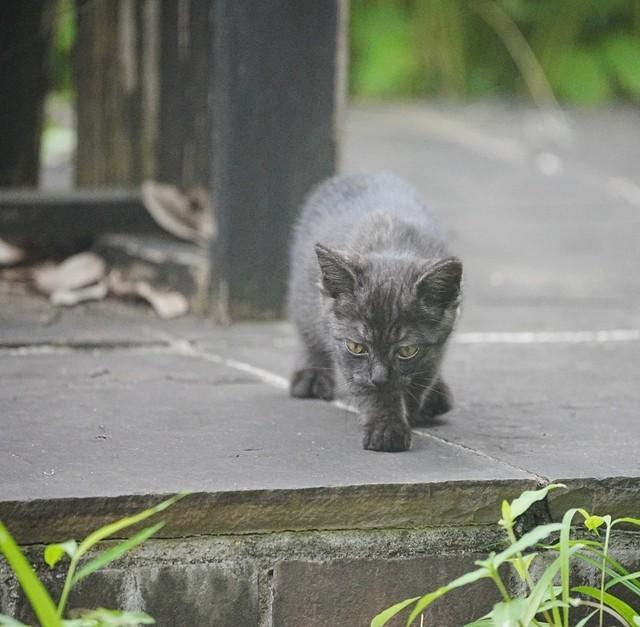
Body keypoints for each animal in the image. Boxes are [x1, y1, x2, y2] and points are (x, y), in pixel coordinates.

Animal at [288, 173, 462, 452]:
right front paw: (386, 425)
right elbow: (367, 388)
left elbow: (421, 377)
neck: (393, 245)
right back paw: (310, 376)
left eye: (407, 350)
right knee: (308, 332)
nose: (379, 378)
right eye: (356, 346)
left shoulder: (438, 344)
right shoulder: (346, 353)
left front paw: (410, 408)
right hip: (305, 296)